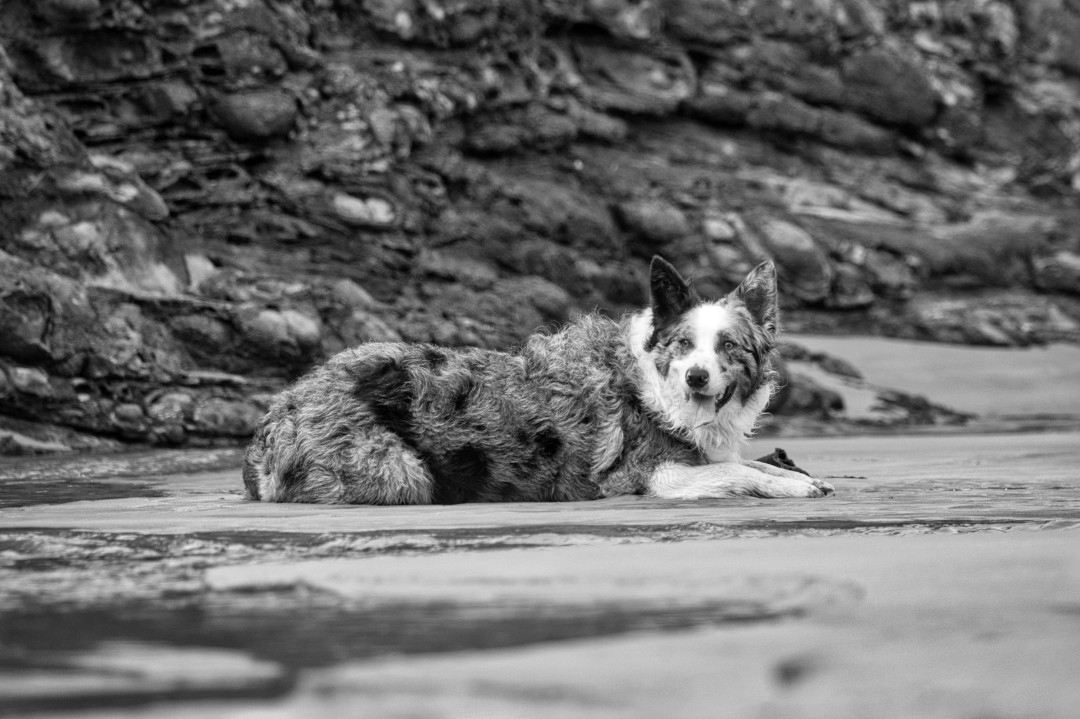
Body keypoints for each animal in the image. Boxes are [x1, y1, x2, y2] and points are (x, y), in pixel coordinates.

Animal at [242, 257, 834, 503]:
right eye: (685, 345)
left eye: (729, 346)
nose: (695, 378)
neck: (657, 389)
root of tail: (276, 413)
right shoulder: (648, 476)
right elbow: (734, 472)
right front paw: (792, 485)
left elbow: (749, 463)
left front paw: (799, 476)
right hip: (403, 474)